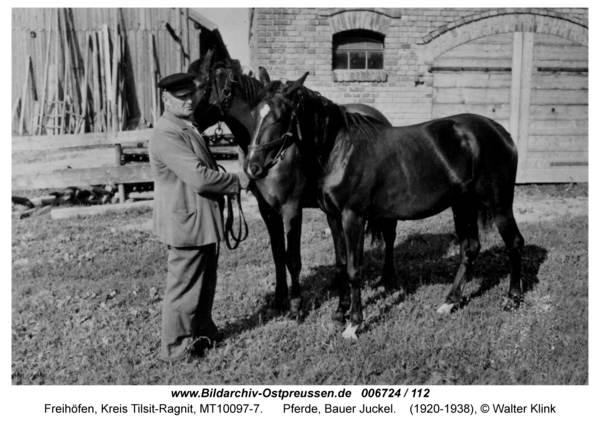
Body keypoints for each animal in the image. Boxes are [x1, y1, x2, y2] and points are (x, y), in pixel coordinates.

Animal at [185, 50, 396, 322]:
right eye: (254, 115)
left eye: (200, 88)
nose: (187, 120)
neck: (275, 153)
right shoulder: (268, 211)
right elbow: (278, 255)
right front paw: (278, 300)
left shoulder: (291, 209)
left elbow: (292, 258)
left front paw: (296, 306)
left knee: (389, 235)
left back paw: (387, 279)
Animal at [246, 72, 524, 338]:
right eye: (254, 114)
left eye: (280, 117)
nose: (252, 167)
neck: (339, 150)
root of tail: (501, 132)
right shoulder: (333, 217)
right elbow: (340, 265)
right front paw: (339, 314)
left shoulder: (353, 217)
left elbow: (354, 269)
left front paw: (354, 324)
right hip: (463, 206)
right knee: (470, 248)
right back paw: (450, 302)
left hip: (499, 205)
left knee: (514, 243)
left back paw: (513, 299)